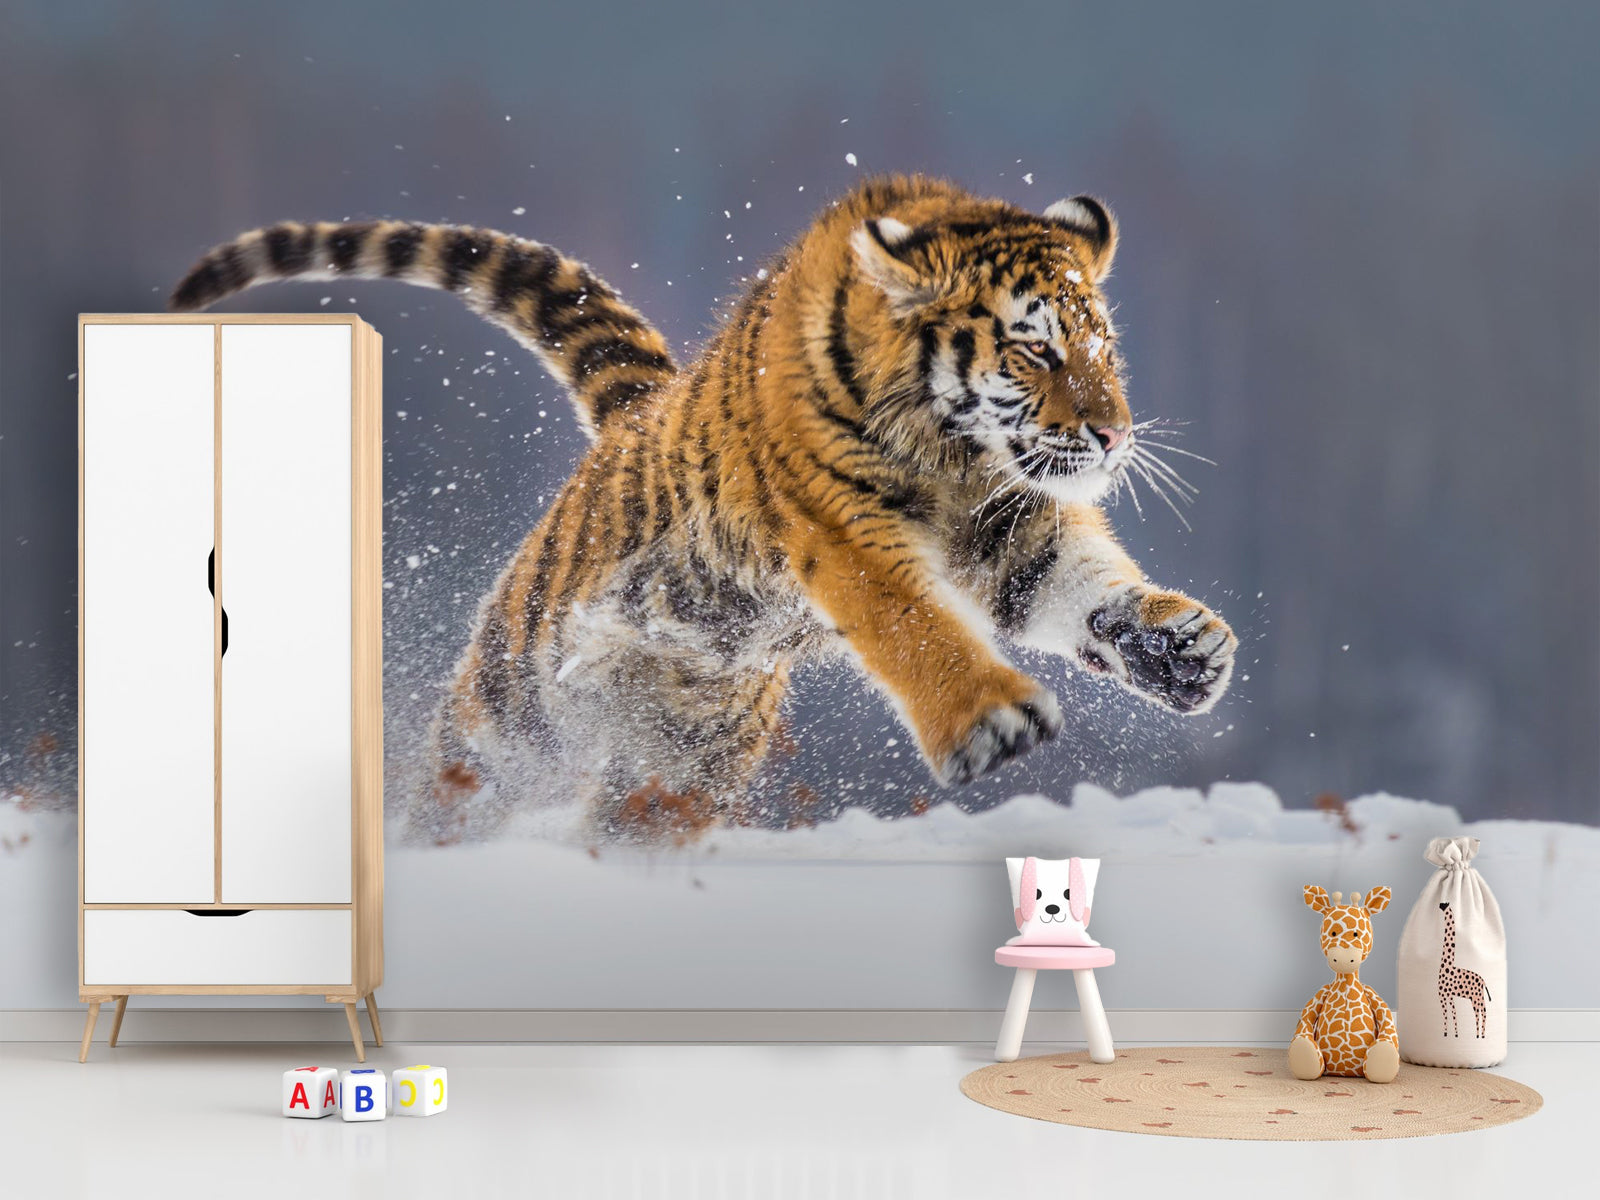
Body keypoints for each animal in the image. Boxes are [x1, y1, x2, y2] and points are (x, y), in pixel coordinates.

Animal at [171, 175, 1237, 844]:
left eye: (1102, 348)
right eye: (1034, 349)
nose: (1114, 435)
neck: (954, 452)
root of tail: (633, 414)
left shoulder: (1011, 521)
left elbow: (1080, 586)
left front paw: (1179, 647)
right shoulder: (842, 530)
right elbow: (915, 624)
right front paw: (992, 721)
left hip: (680, 766)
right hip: (512, 718)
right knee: (455, 798)